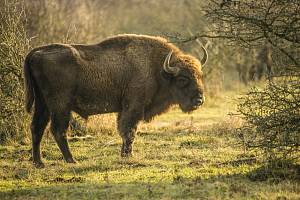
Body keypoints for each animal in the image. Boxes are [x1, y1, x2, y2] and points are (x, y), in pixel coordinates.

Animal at [23, 34, 207, 167]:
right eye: (182, 79)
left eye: (200, 76)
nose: (199, 100)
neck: (158, 69)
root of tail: (35, 53)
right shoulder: (133, 107)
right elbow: (129, 131)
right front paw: (127, 156)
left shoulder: (124, 110)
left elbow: (126, 131)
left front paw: (125, 155)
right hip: (60, 105)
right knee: (58, 130)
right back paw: (71, 160)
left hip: (43, 104)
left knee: (37, 127)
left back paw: (39, 163)